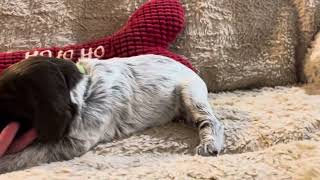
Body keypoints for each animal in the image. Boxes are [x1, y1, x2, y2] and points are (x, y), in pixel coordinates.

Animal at [0, 54, 225, 173]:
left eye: (7, 100)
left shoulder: (75, 142)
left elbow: (29, 152)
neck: (83, 88)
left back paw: (209, 143)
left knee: (210, 121)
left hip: (190, 93)